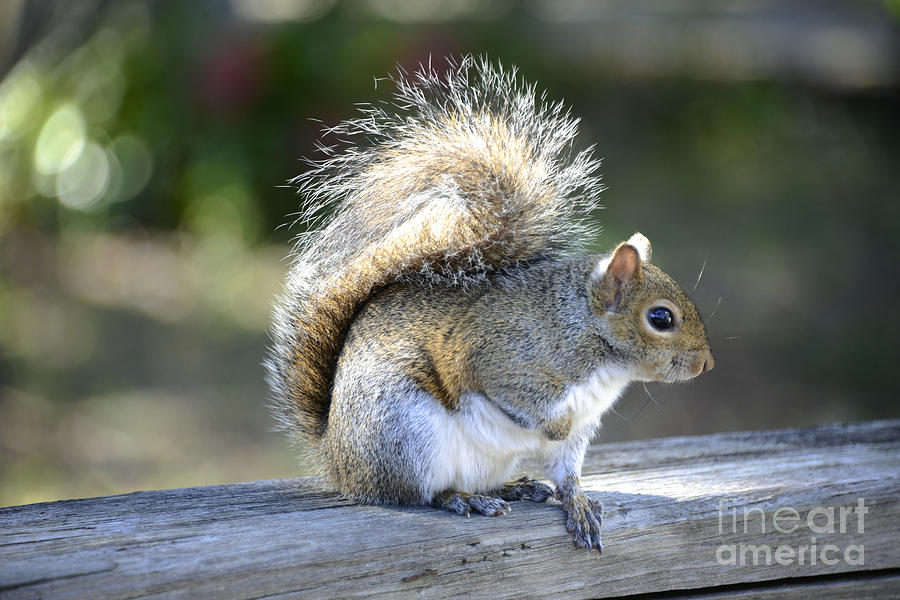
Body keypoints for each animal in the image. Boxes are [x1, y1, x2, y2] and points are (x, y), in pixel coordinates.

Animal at [264, 57, 712, 552]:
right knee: (419, 494)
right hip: (405, 434)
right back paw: (465, 499)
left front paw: (577, 504)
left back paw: (514, 487)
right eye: (660, 318)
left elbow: (568, 474)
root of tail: (337, 459)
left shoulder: (579, 433)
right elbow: (521, 401)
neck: (586, 337)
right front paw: (552, 427)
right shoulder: (504, 357)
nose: (706, 364)